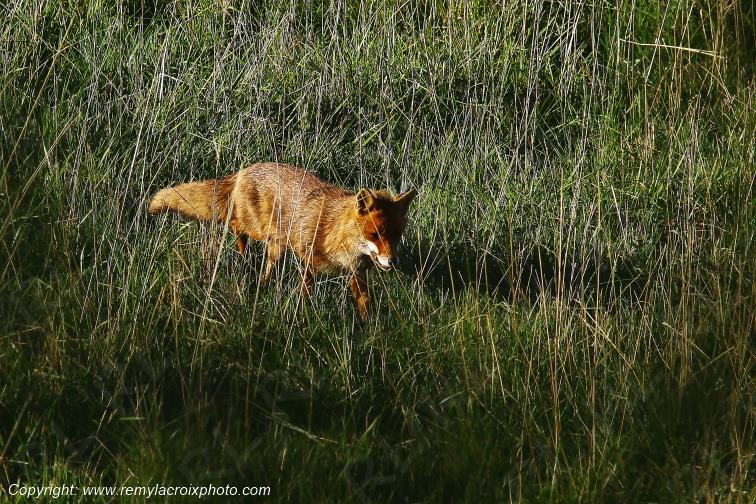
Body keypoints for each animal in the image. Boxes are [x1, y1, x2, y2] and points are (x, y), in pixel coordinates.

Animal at [147, 162, 418, 321]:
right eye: (374, 235)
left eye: (396, 235)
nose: (392, 261)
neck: (335, 233)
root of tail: (244, 170)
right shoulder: (309, 263)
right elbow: (304, 293)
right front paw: (300, 316)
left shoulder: (356, 274)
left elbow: (364, 306)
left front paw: (369, 330)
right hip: (256, 229)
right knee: (234, 225)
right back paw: (242, 254)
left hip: (275, 248)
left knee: (266, 268)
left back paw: (259, 281)